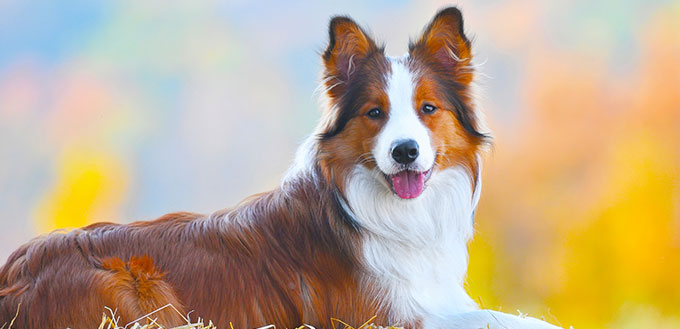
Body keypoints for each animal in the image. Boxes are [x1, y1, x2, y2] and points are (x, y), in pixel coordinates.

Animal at [0, 5, 560, 328]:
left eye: (428, 108)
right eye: (374, 112)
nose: (405, 151)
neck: (382, 212)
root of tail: (13, 272)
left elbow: (506, 315)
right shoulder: (379, 317)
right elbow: (506, 320)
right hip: (139, 293)